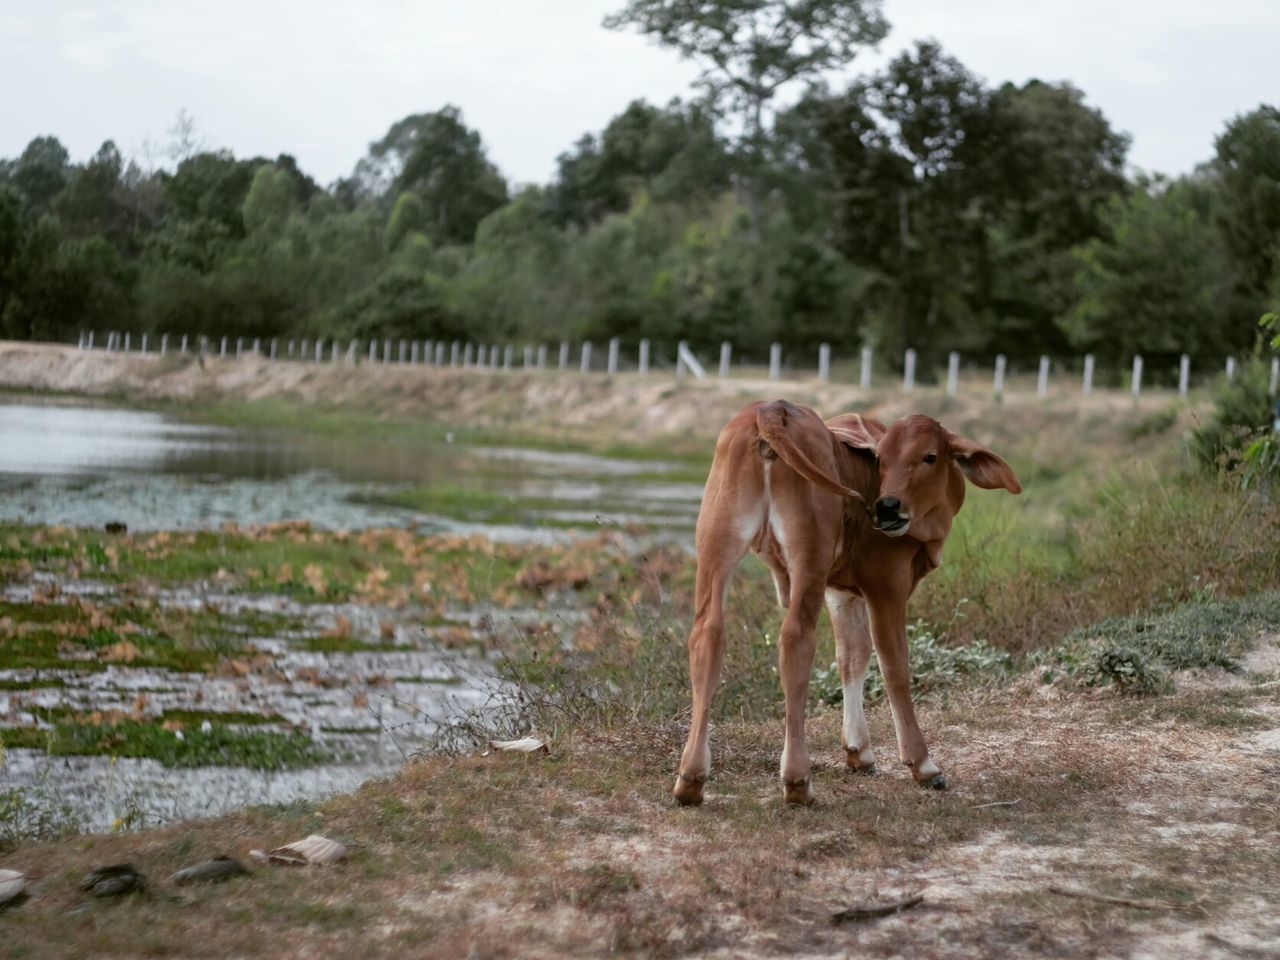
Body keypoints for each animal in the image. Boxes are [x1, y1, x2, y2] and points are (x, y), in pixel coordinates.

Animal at [670, 396, 1018, 803]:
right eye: (881, 459)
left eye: (930, 456)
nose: (886, 506)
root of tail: (771, 407)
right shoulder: (886, 588)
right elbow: (894, 666)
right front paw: (922, 764)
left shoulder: (841, 592)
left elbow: (852, 656)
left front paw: (858, 751)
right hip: (808, 560)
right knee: (795, 640)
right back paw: (797, 781)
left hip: (716, 545)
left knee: (707, 634)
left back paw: (690, 778)